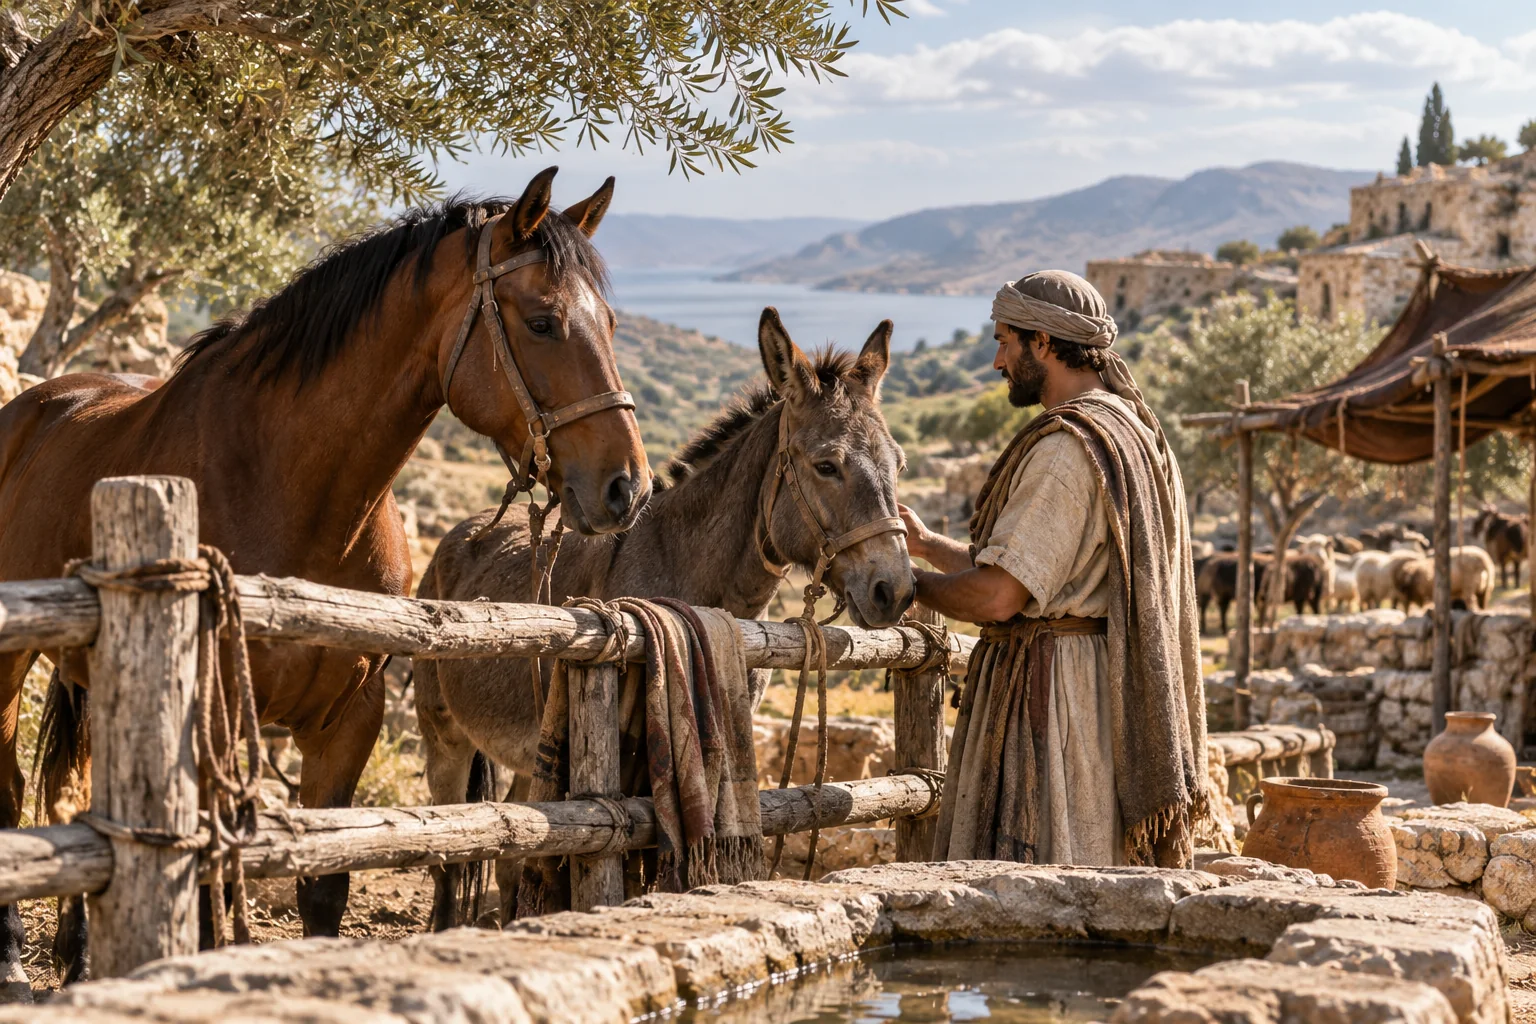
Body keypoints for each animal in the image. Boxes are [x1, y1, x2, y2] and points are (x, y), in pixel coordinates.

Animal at [0, 167, 650, 993]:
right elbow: (207, 894)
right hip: (11, 658)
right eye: (542, 322)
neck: (288, 485)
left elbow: (323, 891)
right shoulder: (211, 718)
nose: (627, 486)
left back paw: (80, 957)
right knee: (13, 791)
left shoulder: (350, 718)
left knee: (75, 791)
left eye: (612, 325)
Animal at [414, 308, 914, 928]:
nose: (897, 590)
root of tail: (461, 532)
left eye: (899, 464)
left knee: (513, 851)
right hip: (446, 736)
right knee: (449, 853)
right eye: (826, 465)